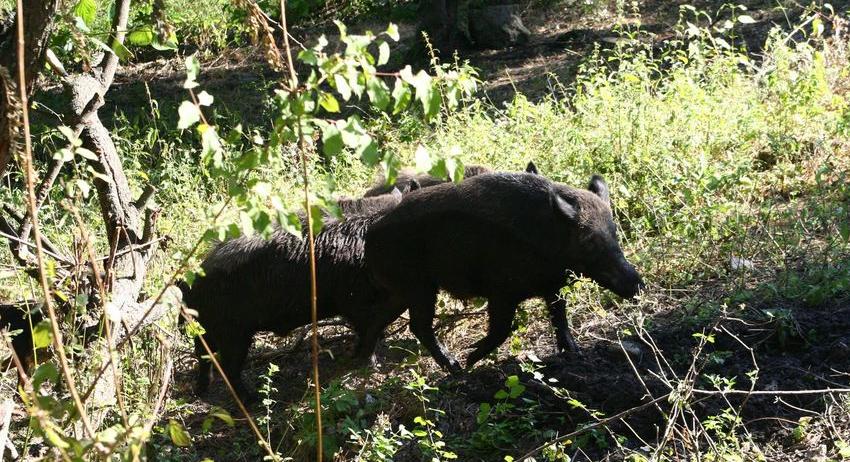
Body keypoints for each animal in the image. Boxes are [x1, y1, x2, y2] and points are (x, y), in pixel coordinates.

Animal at [364, 173, 644, 372]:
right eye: (589, 242)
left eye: (615, 233)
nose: (638, 284)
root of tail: (372, 233)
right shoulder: (501, 291)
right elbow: (502, 330)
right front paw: (471, 359)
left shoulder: (552, 285)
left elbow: (560, 318)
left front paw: (575, 353)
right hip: (418, 287)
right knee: (418, 325)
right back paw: (455, 368)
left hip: (403, 291)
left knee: (379, 318)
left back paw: (365, 360)